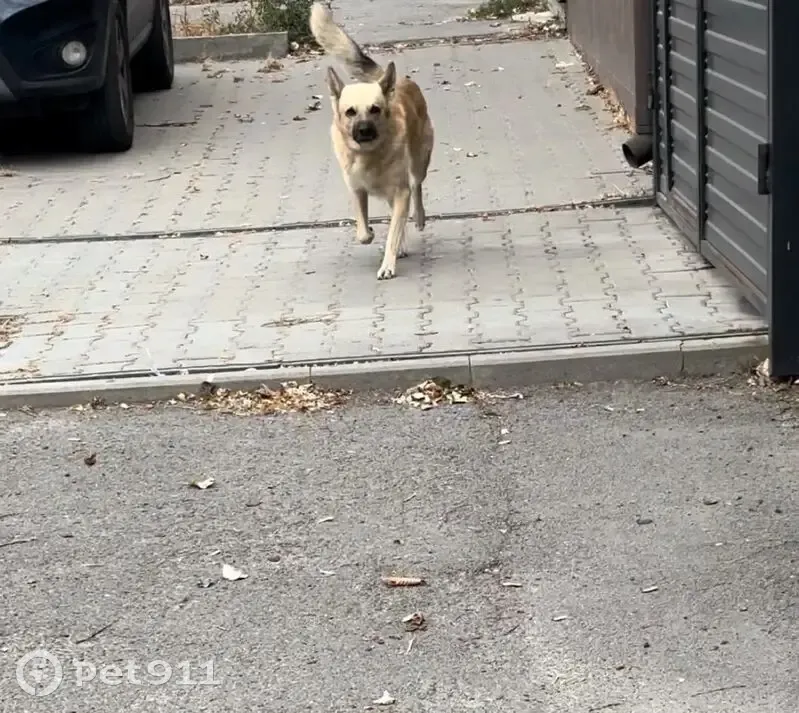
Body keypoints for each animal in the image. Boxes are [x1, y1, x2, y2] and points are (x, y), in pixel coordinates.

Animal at [309, 2, 434, 280]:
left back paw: (419, 218)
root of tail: (397, 81)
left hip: (419, 163)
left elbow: (393, 233)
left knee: (417, 190)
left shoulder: (400, 191)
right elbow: (363, 231)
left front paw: (388, 264)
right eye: (350, 112)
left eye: (375, 109)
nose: (365, 130)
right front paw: (370, 233)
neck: (369, 156)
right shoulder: (357, 190)